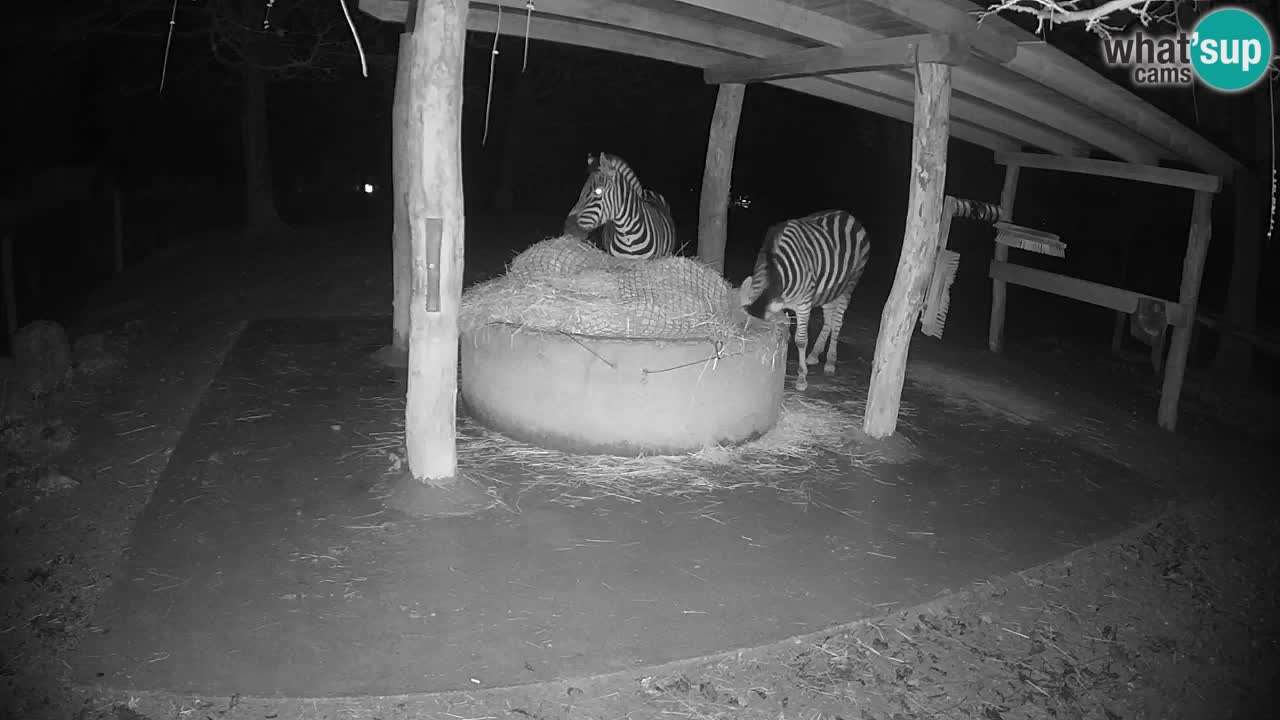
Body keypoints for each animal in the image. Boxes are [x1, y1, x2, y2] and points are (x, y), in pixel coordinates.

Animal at [742, 209, 872, 392]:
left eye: (765, 335)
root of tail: (847, 214)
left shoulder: (804, 304)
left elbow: (801, 340)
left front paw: (802, 378)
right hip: (829, 288)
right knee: (829, 318)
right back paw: (814, 354)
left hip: (849, 284)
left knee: (837, 321)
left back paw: (830, 362)